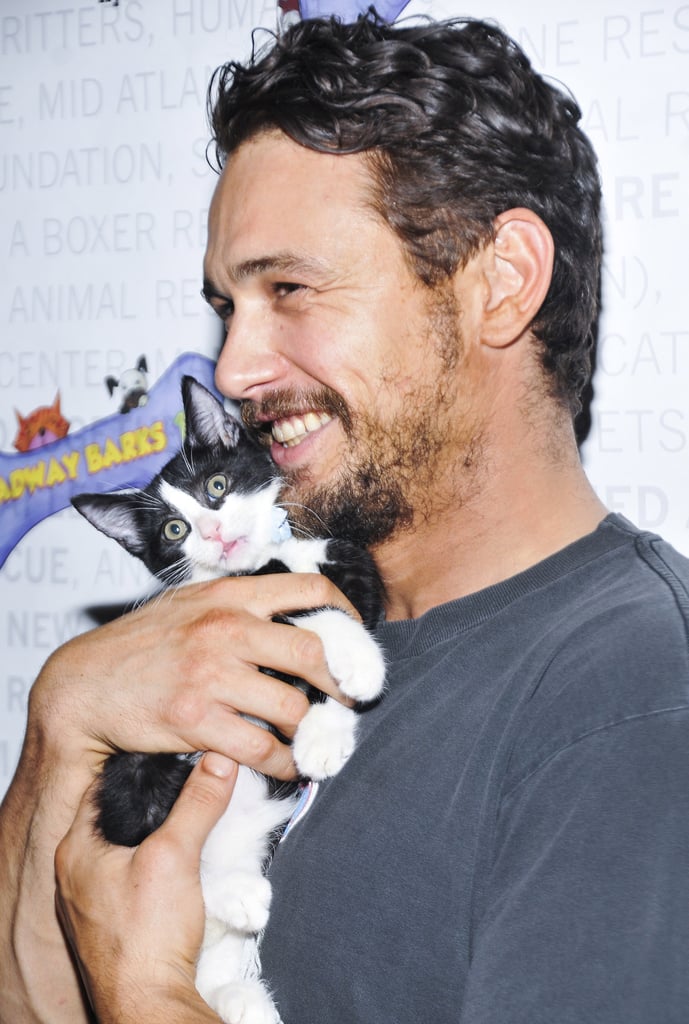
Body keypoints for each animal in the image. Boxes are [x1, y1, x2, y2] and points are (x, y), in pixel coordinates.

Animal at [73, 376, 386, 1024]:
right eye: (173, 530)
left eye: (216, 486)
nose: (214, 533)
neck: (266, 561)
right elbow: (307, 610)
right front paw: (359, 662)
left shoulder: (347, 561)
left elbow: (347, 598)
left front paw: (325, 732)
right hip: (134, 768)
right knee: (150, 833)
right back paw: (236, 891)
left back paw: (242, 996)